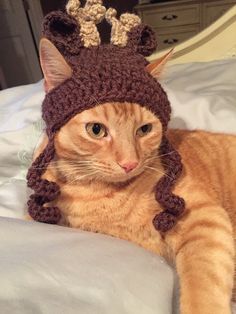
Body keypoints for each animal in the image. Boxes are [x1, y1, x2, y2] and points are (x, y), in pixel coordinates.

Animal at [32, 39, 236, 314]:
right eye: (96, 130)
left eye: (144, 129)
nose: (130, 164)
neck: (96, 193)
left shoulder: (201, 216)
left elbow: (202, 283)